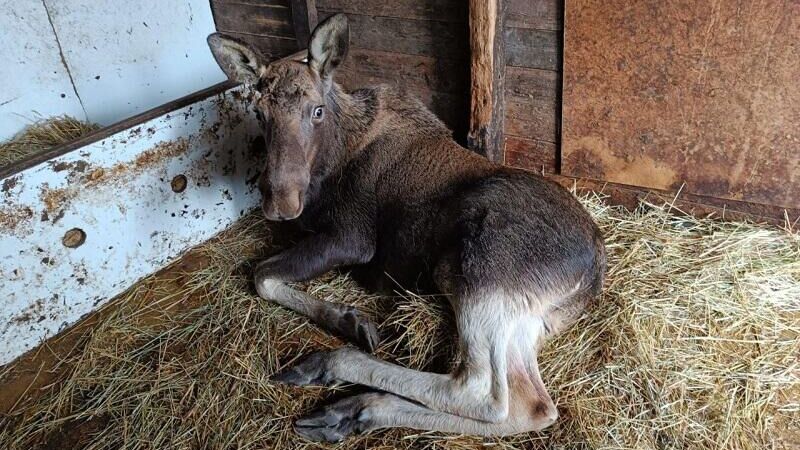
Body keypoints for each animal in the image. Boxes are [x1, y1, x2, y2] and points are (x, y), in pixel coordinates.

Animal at [208, 14, 608, 442]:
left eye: (316, 111)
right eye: (260, 114)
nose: (280, 202)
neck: (328, 166)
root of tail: (591, 273)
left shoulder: (352, 238)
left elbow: (262, 275)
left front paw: (349, 320)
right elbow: (265, 274)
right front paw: (347, 319)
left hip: (475, 271)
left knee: (482, 391)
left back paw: (333, 368)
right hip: (526, 318)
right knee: (531, 405)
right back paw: (354, 411)